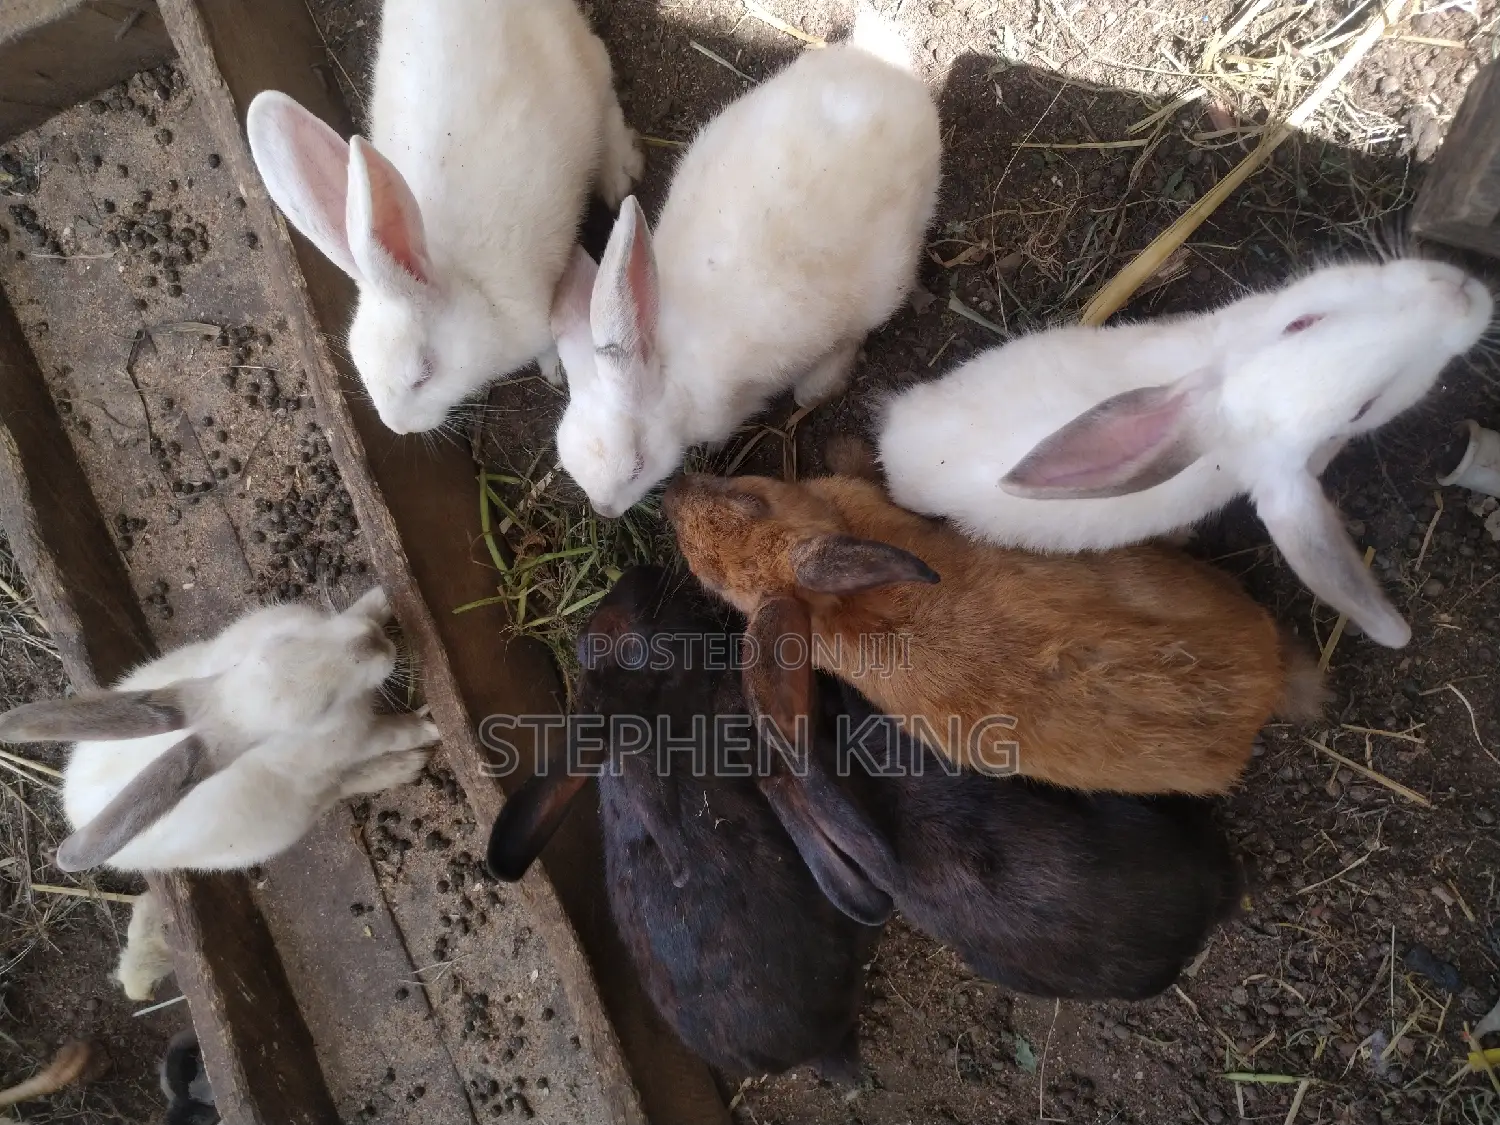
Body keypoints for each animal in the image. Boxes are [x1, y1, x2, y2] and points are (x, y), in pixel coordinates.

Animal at [0, 587, 440, 877]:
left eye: (285, 639)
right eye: (323, 707)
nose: (374, 643)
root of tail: (73, 813)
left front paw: (380, 597)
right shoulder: (357, 739)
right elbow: (390, 735)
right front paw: (427, 728)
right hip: (288, 818)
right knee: (338, 788)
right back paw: (406, 768)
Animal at [246, 0, 643, 434]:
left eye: (424, 373)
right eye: (360, 364)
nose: (399, 427)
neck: (465, 283)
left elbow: (548, 344)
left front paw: (553, 370)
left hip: (581, 59)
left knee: (605, 96)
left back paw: (620, 174)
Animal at [549, 5, 941, 517]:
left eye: (635, 466)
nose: (604, 510)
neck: (666, 361)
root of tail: (893, 75)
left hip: (885, 276)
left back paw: (816, 384)